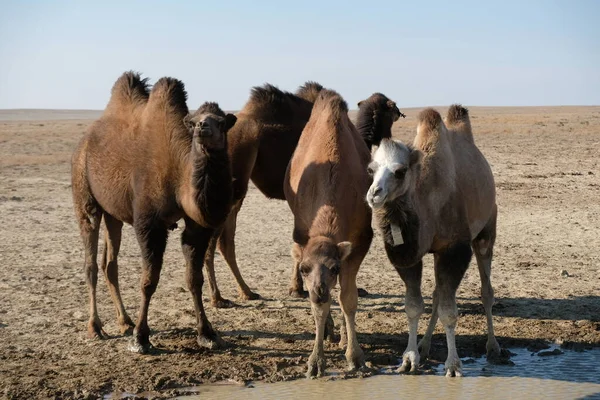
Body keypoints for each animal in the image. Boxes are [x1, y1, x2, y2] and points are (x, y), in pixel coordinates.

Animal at [71, 72, 236, 354]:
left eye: (223, 122)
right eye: (194, 122)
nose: (204, 128)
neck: (177, 172)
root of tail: (84, 141)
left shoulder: (196, 226)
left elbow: (194, 279)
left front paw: (207, 334)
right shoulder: (148, 223)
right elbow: (149, 280)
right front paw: (141, 339)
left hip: (113, 214)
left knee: (109, 264)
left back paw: (124, 322)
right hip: (84, 193)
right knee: (90, 262)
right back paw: (96, 328)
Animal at [284, 88, 372, 378]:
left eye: (333, 267)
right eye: (304, 269)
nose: (318, 290)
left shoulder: (361, 238)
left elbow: (349, 298)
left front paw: (355, 356)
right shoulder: (302, 232)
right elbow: (319, 309)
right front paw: (315, 362)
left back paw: (343, 335)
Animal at [366, 104, 502, 376]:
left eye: (400, 171)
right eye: (370, 169)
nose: (374, 194)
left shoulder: (454, 249)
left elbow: (450, 311)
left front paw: (453, 365)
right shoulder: (409, 254)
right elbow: (414, 305)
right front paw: (410, 359)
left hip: (486, 230)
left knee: (486, 291)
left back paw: (493, 348)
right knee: (438, 294)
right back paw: (425, 345)